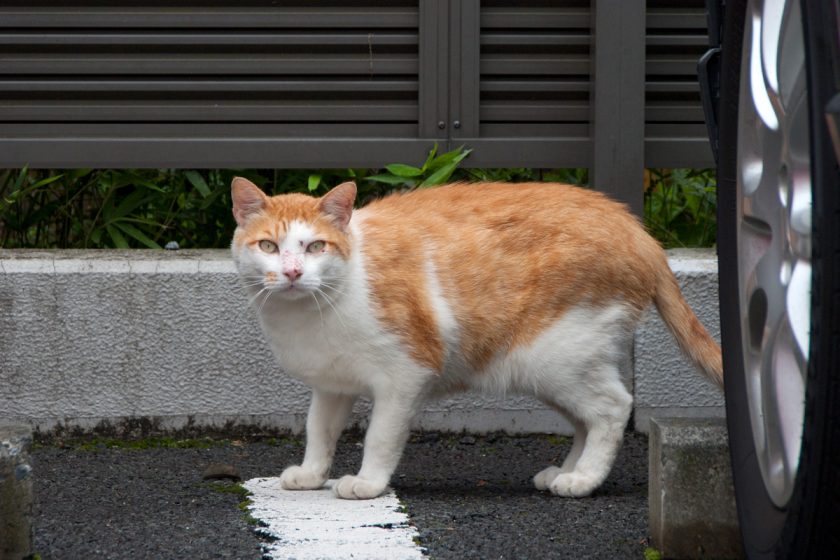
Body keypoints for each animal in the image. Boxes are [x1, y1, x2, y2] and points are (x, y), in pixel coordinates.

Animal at [230, 178, 720, 498]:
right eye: (269, 246)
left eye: (316, 247)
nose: (293, 273)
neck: (308, 313)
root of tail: (639, 232)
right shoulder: (332, 385)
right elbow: (319, 430)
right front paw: (312, 475)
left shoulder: (405, 375)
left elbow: (380, 437)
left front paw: (368, 483)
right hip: (554, 372)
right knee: (587, 419)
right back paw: (566, 471)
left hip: (558, 360)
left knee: (613, 408)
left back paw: (583, 480)